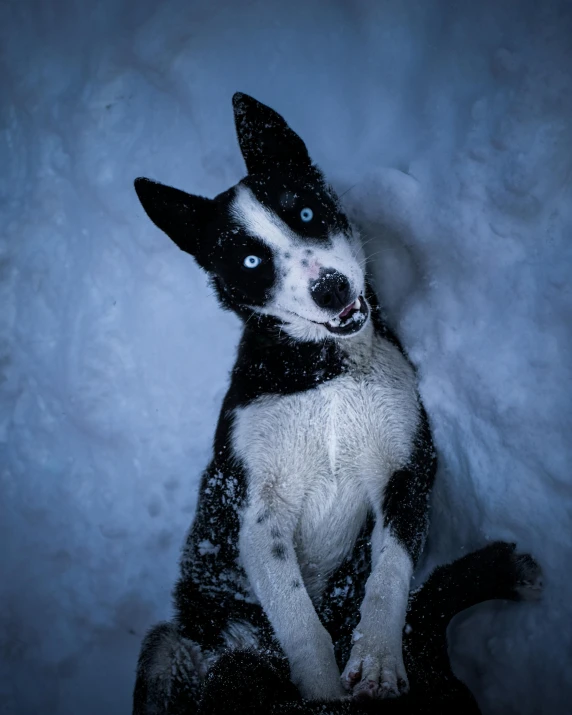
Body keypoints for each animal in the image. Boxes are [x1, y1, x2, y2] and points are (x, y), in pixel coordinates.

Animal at [133, 95, 438, 715]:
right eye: (251, 261)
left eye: (305, 213)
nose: (331, 288)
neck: (322, 370)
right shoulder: (258, 513)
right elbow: (299, 619)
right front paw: (322, 694)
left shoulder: (406, 468)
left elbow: (388, 576)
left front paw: (376, 660)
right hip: (178, 643)